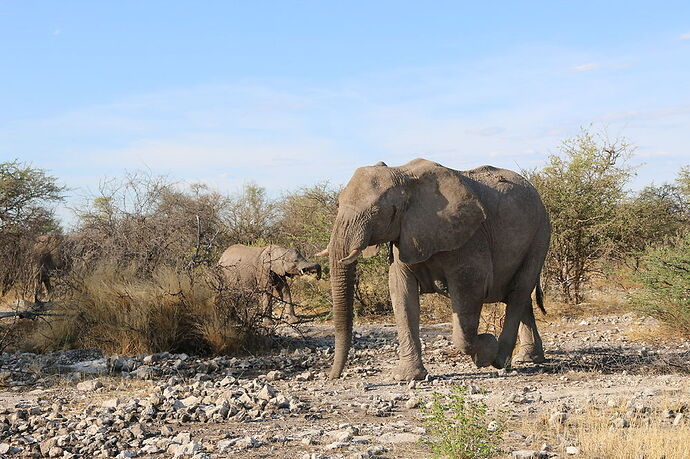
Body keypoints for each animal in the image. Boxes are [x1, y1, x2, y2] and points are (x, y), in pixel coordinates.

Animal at [320, 158, 552, 380]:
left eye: (377, 212)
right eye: (338, 204)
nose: (333, 377)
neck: (403, 174)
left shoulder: (468, 237)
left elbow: (470, 289)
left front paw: (486, 349)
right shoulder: (405, 235)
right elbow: (401, 293)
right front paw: (407, 377)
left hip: (540, 235)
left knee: (519, 291)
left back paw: (500, 360)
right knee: (519, 295)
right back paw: (527, 358)